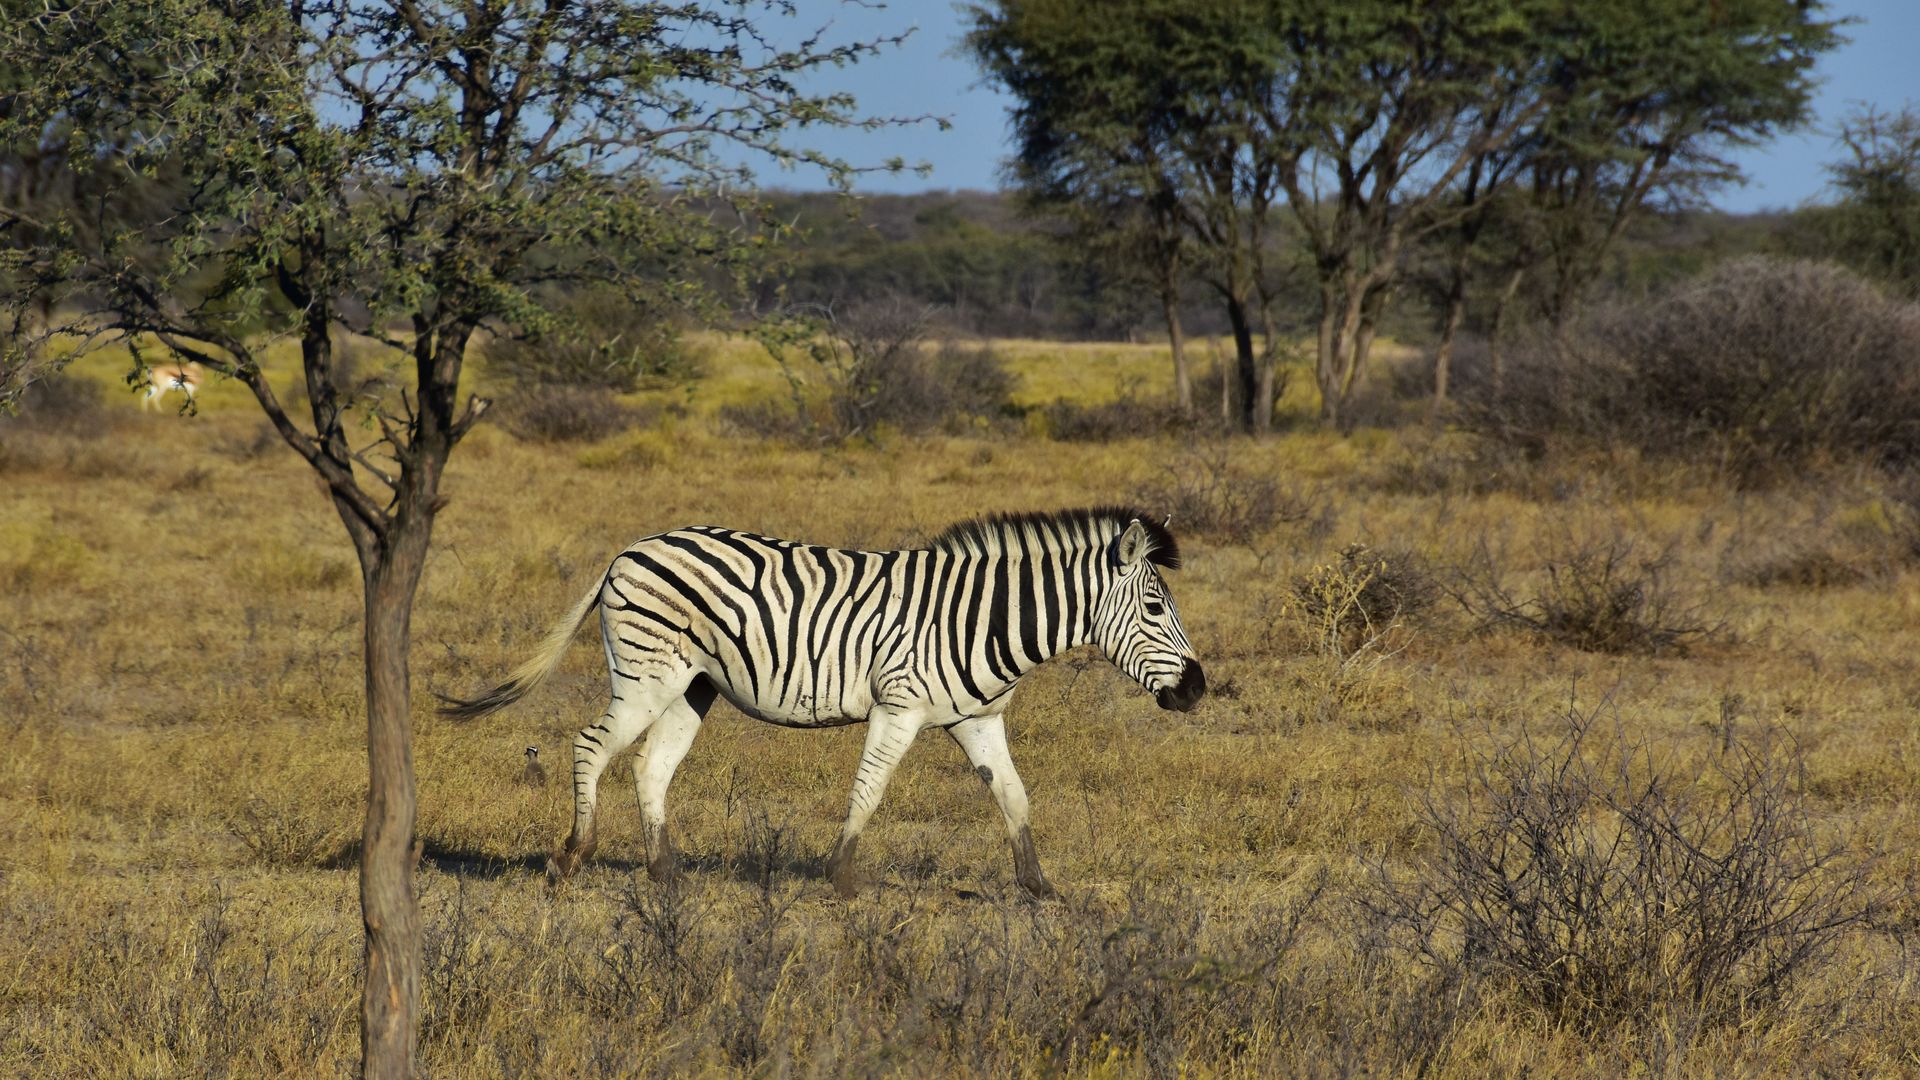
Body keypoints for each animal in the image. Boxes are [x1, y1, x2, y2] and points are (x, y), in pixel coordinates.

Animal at [439, 506, 1206, 899]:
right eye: (1154, 606)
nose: (1198, 689)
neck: (981, 617)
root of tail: (630, 547)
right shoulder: (900, 705)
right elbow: (869, 789)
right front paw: (840, 876)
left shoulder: (976, 718)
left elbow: (1014, 795)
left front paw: (1039, 886)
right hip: (647, 672)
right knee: (591, 745)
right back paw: (570, 858)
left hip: (692, 686)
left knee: (649, 766)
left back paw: (667, 874)